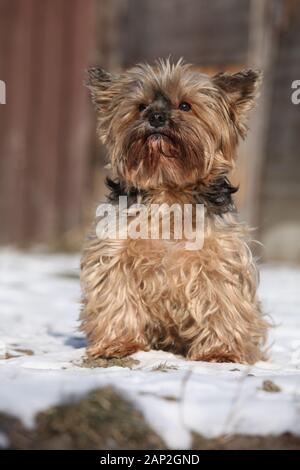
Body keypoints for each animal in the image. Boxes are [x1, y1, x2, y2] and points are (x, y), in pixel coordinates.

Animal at [80, 58, 270, 364]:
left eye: (185, 105)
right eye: (141, 106)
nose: (156, 117)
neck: (167, 188)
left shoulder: (219, 258)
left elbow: (221, 300)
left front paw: (221, 351)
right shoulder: (115, 253)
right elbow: (117, 295)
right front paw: (118, 344)